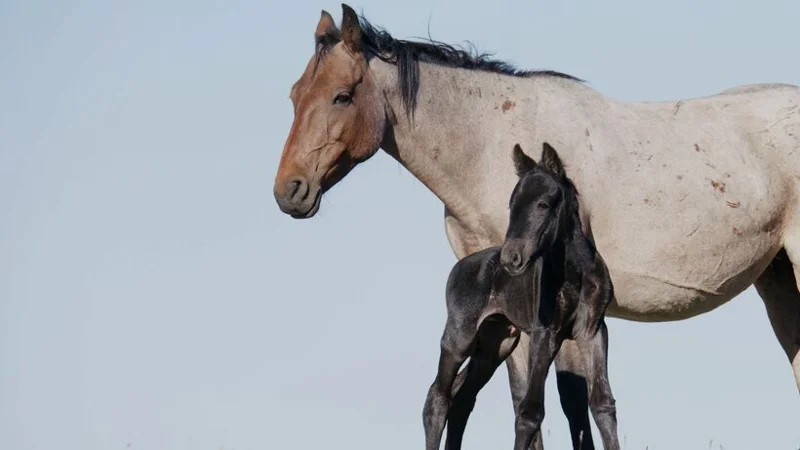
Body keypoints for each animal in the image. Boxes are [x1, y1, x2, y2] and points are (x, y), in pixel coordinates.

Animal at [423, 143, 619, 450]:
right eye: (511, 205)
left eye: (543, 204)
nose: (511, 258)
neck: (575, 274)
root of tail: (460, 266)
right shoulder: (544, 332)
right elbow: (530, 411)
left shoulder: (592, 330)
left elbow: (602, 403)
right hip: (460, 336)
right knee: (437, 397)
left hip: (496, 343)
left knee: (461, 397)